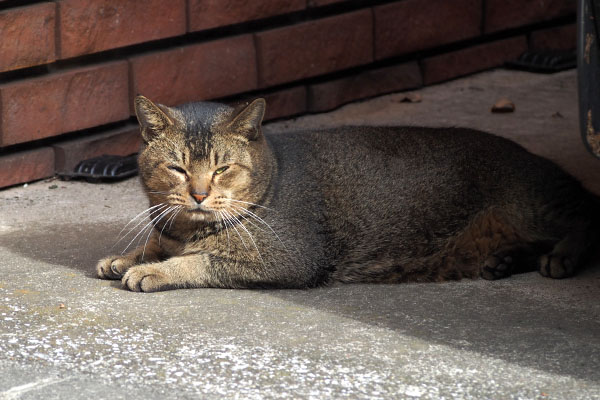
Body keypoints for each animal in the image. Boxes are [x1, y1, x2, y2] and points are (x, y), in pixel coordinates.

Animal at [96, 95, 596, 292]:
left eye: (222, 169)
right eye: (178, 168)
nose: (199, 195)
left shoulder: (288, 258)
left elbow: (199, 261)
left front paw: (152, 270)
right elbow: (156, 243)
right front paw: (128, 256)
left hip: (530, 206)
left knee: (590, 217)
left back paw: (562, 256)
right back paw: (503, 260)